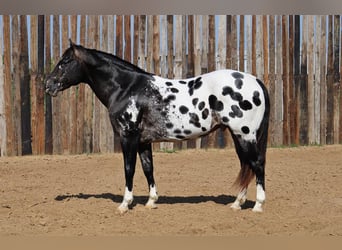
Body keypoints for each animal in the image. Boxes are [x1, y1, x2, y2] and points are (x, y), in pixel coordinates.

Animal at [44, 40, 270, 214]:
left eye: (65, 62)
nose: (48, 85)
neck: (127, 88)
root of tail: (256, 81)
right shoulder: (143, 141)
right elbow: (148, 168)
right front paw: (151, 201)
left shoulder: (128, 137)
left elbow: (129, 168)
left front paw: (125, 204)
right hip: (238, 136)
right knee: (246, 165)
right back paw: (237, 204)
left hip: (245, 135)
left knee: (257, 164)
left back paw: (258, 206)